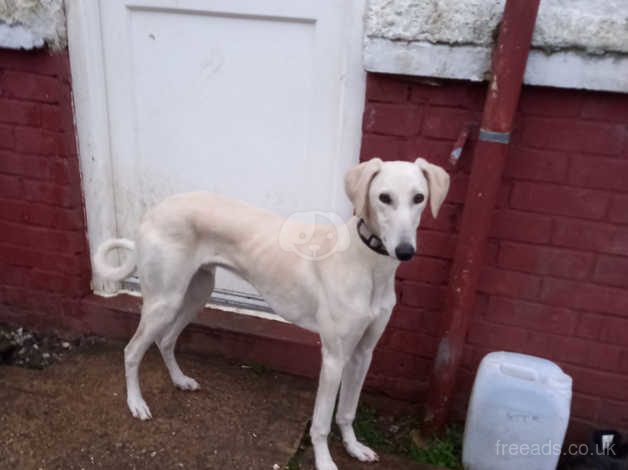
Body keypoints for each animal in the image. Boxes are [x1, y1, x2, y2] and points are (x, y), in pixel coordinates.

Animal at [92, 158, 446, 470]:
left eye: (419, 198)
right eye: (384, 197)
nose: (405, 251)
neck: (367, 263)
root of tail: (152, 212)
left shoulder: (363, 353)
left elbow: (347, 411)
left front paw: (354, 447)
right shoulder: (334, 357)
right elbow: (321, 422)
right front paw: (324, 461)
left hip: (195, 294)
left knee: (165, 340)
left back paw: (179, 380)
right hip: (164, 301)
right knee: (131, 351)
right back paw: (136, 404)